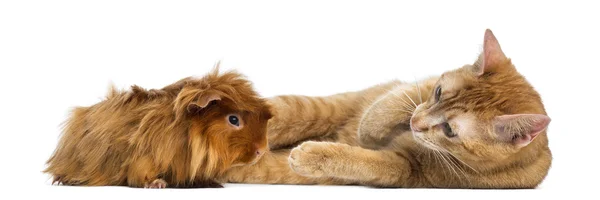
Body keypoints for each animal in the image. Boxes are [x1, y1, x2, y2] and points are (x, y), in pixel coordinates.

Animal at [218, 28, 552, 188]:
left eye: (449, 130)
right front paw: (371, 129)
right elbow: (397, 99)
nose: (416, 124)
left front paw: (321, 153)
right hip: (314, 108)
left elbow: (364, 160)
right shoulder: (416, 91)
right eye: (438, 92)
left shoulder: (405, 168)